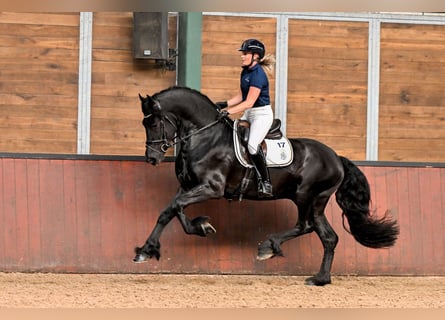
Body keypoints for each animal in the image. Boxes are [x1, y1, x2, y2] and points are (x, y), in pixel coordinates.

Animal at [133, 86, 398, 286]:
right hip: (316, 202)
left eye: (154, 124)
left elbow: (175, 207)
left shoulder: (211, 188)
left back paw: (268, 247)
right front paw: (151, 247)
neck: (206, 137)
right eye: (144, 124)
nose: (151, 158)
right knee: (328, 237)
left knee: (305, 225)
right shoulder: (187, 186)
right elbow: (170, 210)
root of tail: (336, 157)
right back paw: (320, 279)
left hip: (306, 196)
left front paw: (195, 229)